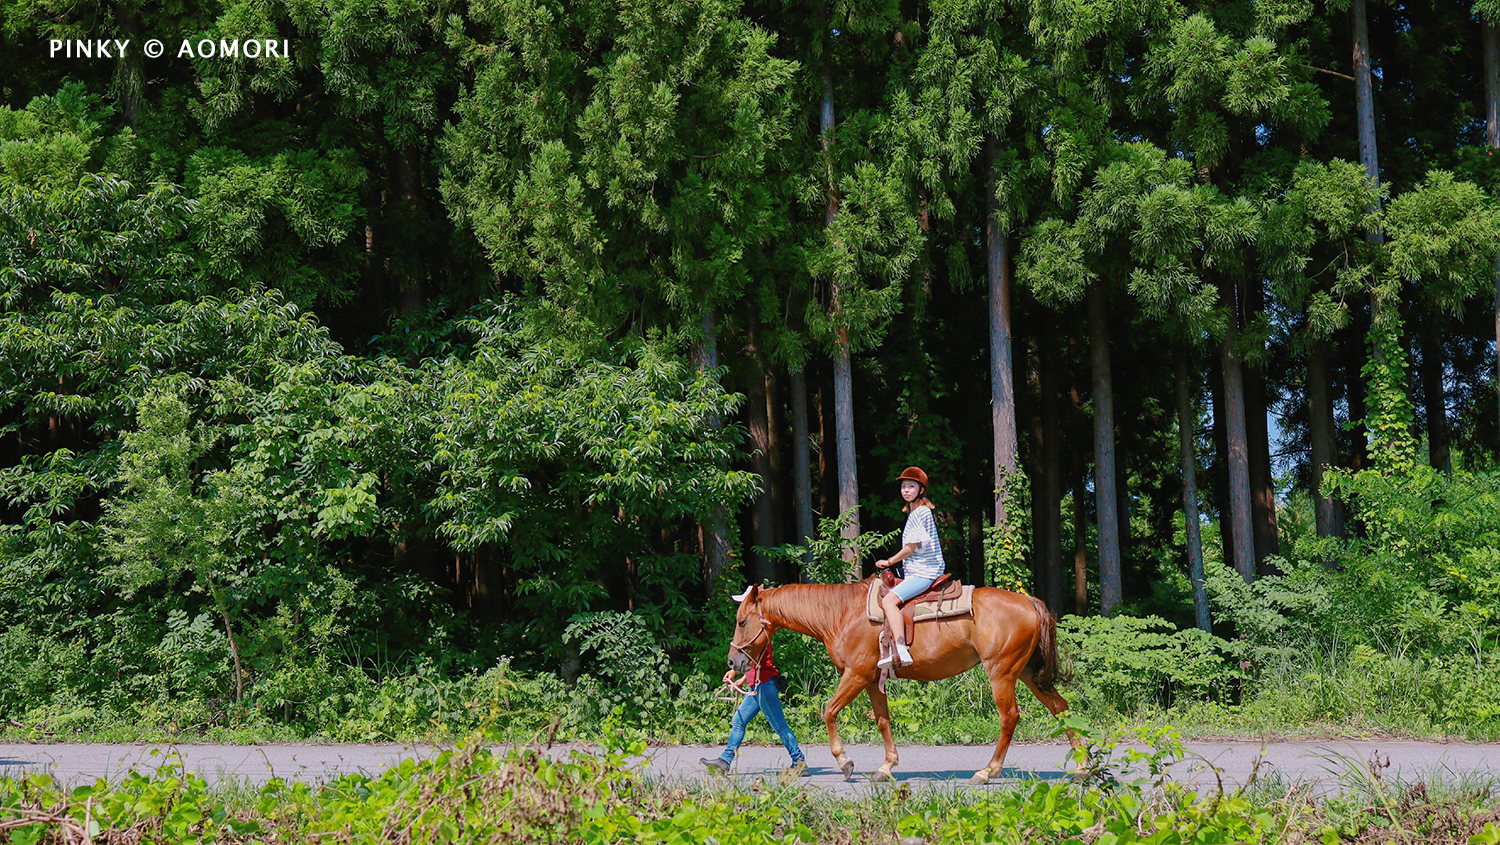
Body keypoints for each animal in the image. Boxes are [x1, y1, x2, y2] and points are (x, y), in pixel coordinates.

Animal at [726, 579, 1080, 786]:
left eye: (742, 621)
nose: (732, 663)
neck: (840, 613)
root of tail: (1029, 602)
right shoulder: (871, 680)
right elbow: (883, 720)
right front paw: (886, 767)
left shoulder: (855, 674)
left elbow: (828, 712)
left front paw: (845, 761)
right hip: (1029, 673)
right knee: (1061, 709)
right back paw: (1082, 766)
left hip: (1002, 672)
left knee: (1009, 718)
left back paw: (987, 771)